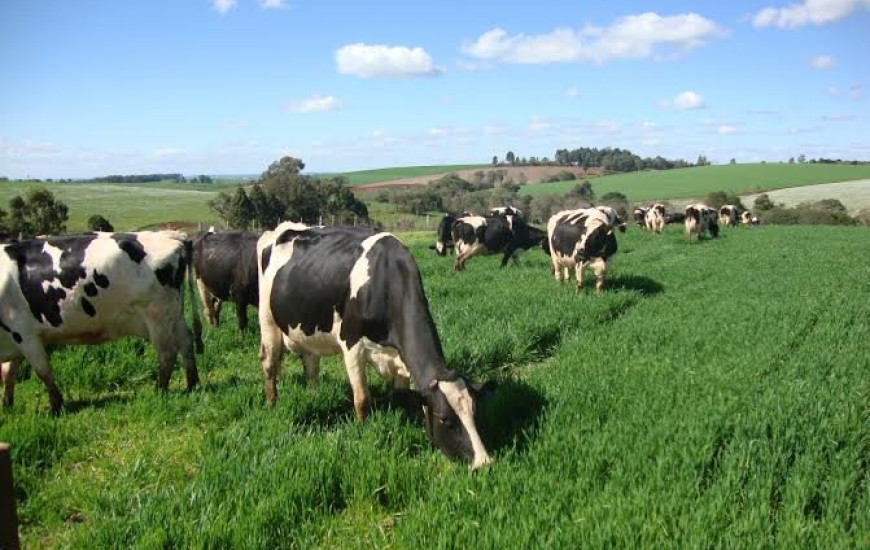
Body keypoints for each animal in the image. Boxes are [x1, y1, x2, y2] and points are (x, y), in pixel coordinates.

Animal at [0, 231, 203, 416]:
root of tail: (171, 235)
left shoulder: (26, 335)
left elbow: (43, 372)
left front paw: (56, 408)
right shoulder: (15, 340)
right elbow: (8, 373)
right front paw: (7, 405)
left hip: (156, 314)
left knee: (168, 352)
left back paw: (160, 390)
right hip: (173, 314)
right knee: (186, 342)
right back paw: (192, 385)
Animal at [255, 224, 494, 470]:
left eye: (475, 413)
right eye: (446, 420)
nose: (485, 462)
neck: (385, 284)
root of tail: (285, 227)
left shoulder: (399, 358)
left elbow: (401, 396)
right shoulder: (352, 346)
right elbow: (362, 399)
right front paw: (362, 432)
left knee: (311, 365)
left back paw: (314, 395)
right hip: (267, 319)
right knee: (269, 364)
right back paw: (272, 404)